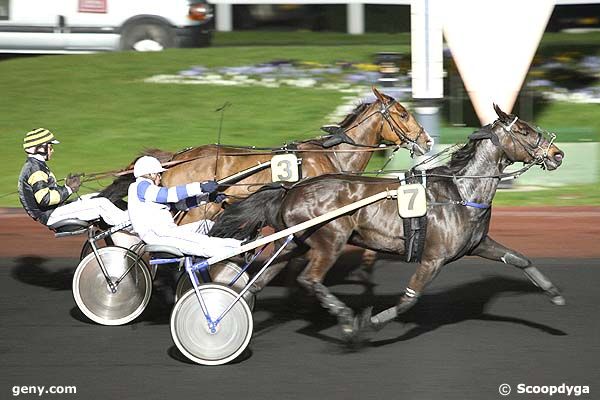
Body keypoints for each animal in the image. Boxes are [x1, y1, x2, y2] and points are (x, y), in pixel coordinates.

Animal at [211, 105, 568, 340]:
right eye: (524, 131)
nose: (558, 154)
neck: (460, 191)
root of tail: (292, 188)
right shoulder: (433, 257)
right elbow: (409, 298)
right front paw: (371, 322)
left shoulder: (478, 244)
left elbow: (520, 259)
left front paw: (555, 294)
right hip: (330, 240)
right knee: (309, 279)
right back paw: (344, 317)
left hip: (296, 242)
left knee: (260, 280)